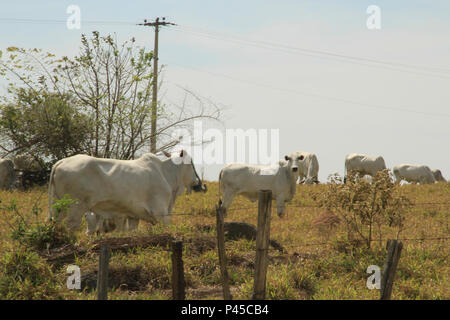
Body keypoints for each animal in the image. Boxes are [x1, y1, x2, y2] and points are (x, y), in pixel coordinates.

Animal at [48, 150, 207, 232]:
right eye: (191, 163)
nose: (199, 183)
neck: (165, 172)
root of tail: (61, 162)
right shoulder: (160, 212)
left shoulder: (133, 216)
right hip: (75, 207)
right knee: (72, 226)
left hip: (59, 207)